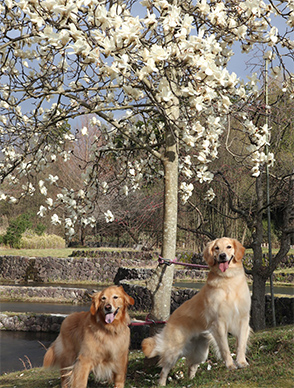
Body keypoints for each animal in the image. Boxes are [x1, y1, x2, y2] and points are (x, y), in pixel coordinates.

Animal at [142, 236, 250, 384]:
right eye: (217, 248)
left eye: (229, 247)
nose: (222, 256)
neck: (229, 280)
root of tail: (171, 316)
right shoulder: (219, 322)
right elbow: (225, 348)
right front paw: (230, 365)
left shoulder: (243, 319)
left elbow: (241, 344)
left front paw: (241, 362)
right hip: (174, 350)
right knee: (164, 370)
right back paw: (162, 384)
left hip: (201, 352)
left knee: (191, 366)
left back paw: (191, 381)